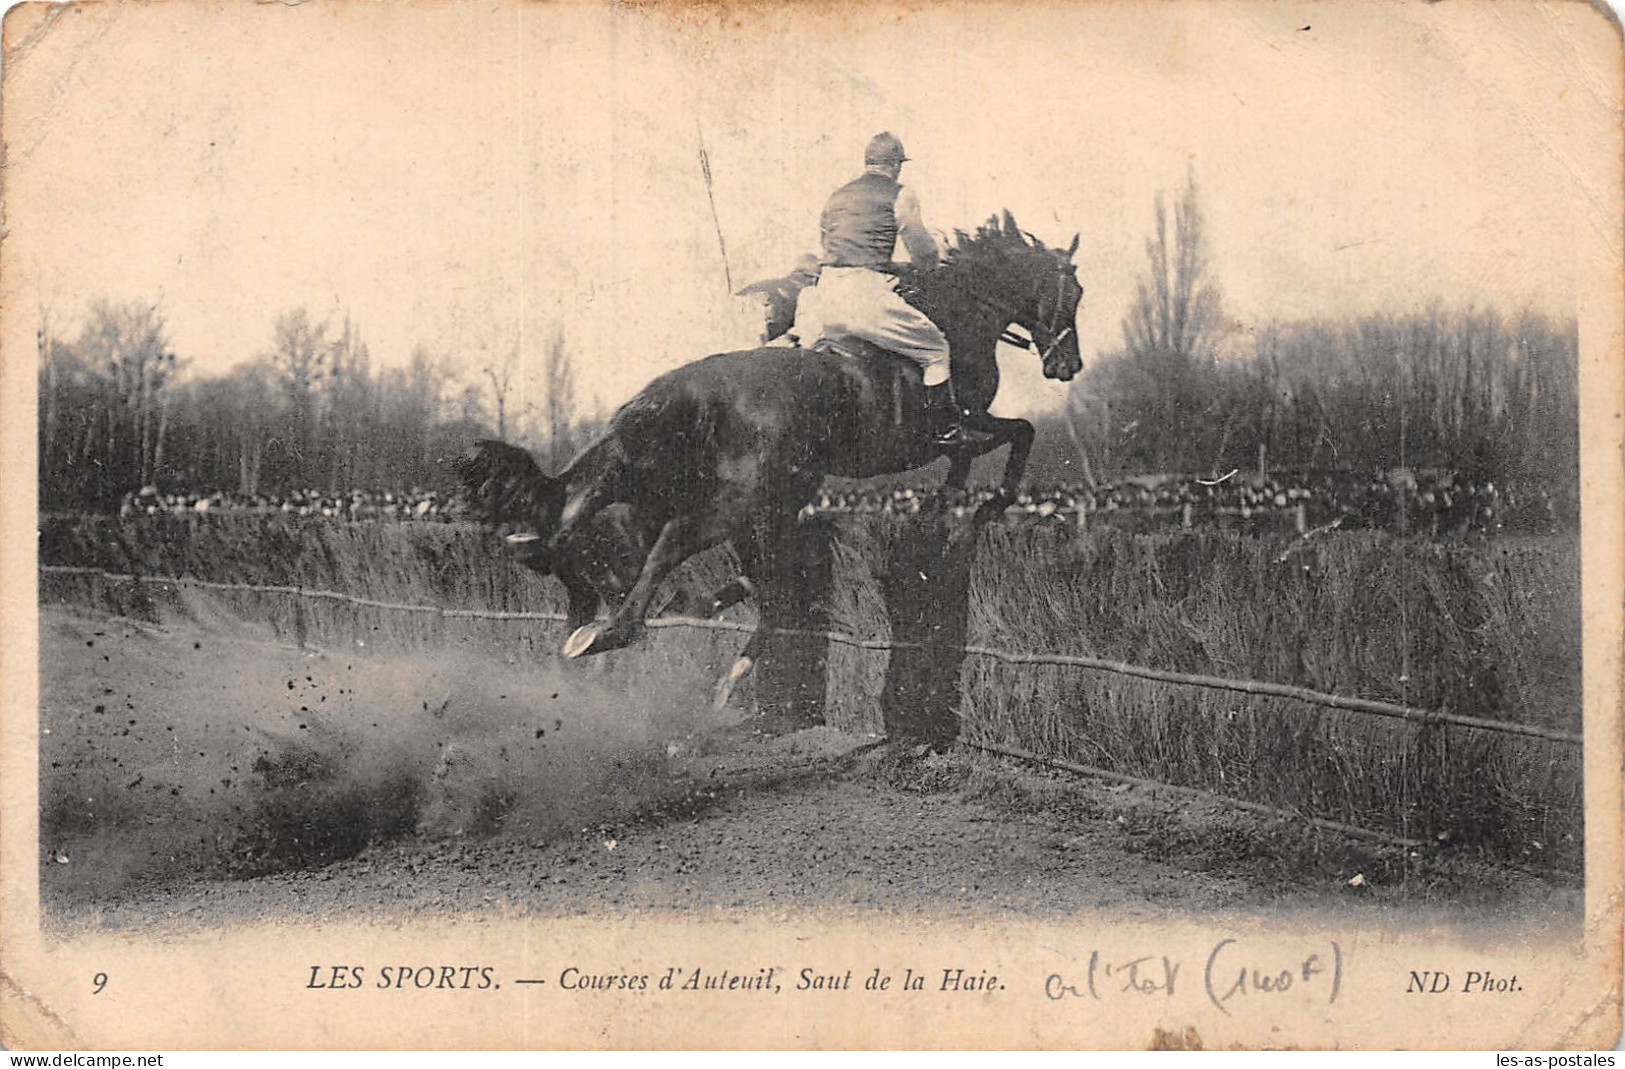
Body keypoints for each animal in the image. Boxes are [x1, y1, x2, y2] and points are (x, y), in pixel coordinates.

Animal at [458, 209, 1079, 656]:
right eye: (1074, 294)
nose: (1065, 364)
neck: (960, 314)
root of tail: (685, 385)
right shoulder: (959, 425)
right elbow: (1017, 435)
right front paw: (983, 506)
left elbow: (981, 455)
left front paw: (947, 506)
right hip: (742, 497)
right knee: (670, 541)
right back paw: (615, 630)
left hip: (668, 485)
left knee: (590, 518)